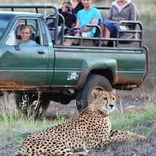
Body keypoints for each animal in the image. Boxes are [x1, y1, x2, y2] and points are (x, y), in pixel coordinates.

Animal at [15, 89, 146, 155]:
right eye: (105, 98)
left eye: (113, 98)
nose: (112, 105)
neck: (101, 112)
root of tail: (24, 142)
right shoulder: (94, 143)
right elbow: (117, 137)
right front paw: (130, 138)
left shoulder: (109, 132)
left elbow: (124, 132)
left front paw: (141, 136)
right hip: (60, 146)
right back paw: (83, 152)